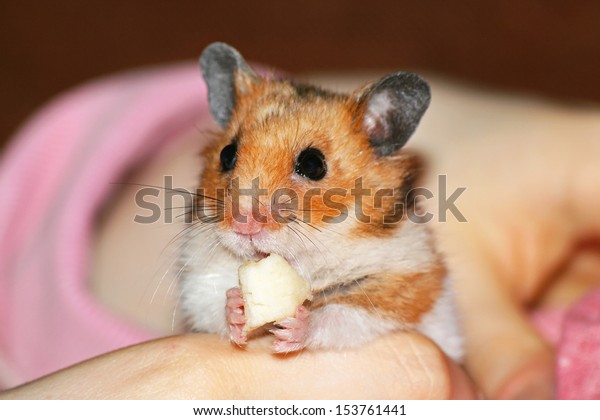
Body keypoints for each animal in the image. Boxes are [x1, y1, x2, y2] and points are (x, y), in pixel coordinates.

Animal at [179, 42, 464, 360]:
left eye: (313, 164)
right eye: (227, 155)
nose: (243, 224)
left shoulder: (407, 284)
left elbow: (344, 313)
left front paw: (295, 327)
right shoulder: (198, 279)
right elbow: (207, 300)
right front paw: (236, 307)